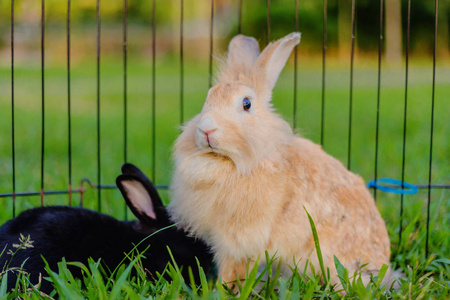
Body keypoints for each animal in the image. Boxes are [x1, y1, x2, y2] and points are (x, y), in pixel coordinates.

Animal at [168, 31, 394, 288]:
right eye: (207, 100)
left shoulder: (240, 238)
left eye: (246, 104)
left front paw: (223, 288)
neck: (233, 162)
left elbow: (232, 267)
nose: (206, 129)